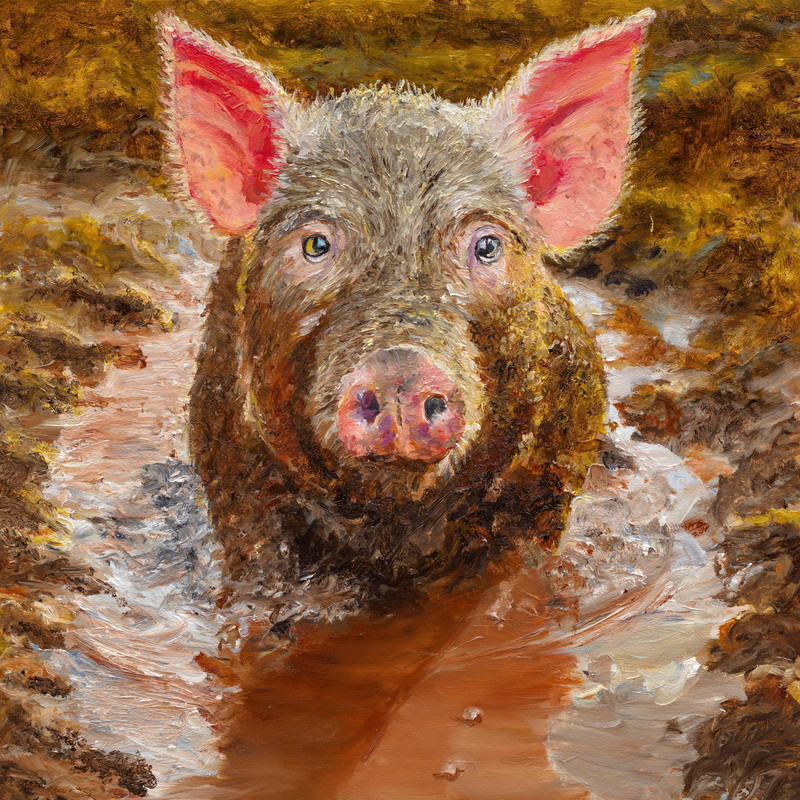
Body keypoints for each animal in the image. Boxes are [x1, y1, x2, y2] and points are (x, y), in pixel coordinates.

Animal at [157, 11, 654, 621]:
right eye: (316, 244)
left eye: (486, 245)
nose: (399, 368)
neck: (396, 527)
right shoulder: (232, 474)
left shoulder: (551, 476)